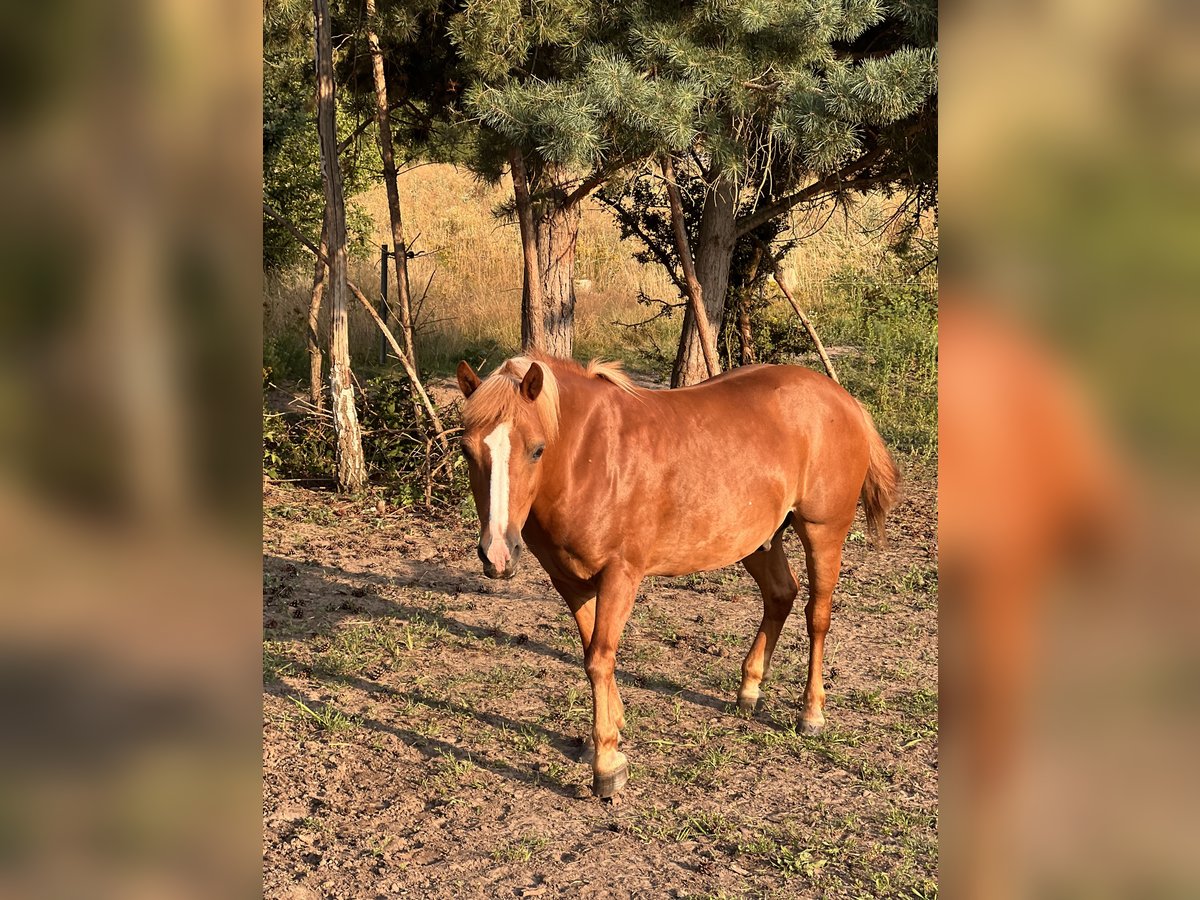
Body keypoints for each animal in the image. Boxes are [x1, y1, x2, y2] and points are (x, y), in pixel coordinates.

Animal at [453, 355, 897, 801]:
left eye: (537, 449)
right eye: (466, 449)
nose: (497, 553)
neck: (590, 458)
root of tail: (843, 399)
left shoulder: (621, 575)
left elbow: (600, 658)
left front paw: (607, 763)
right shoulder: (570, 581)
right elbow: (593, 652)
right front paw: (610, 730)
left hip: (823, 532)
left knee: (817, 615)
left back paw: (811, 712)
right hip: (758, 540)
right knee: (780, 595)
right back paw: (750, 689)